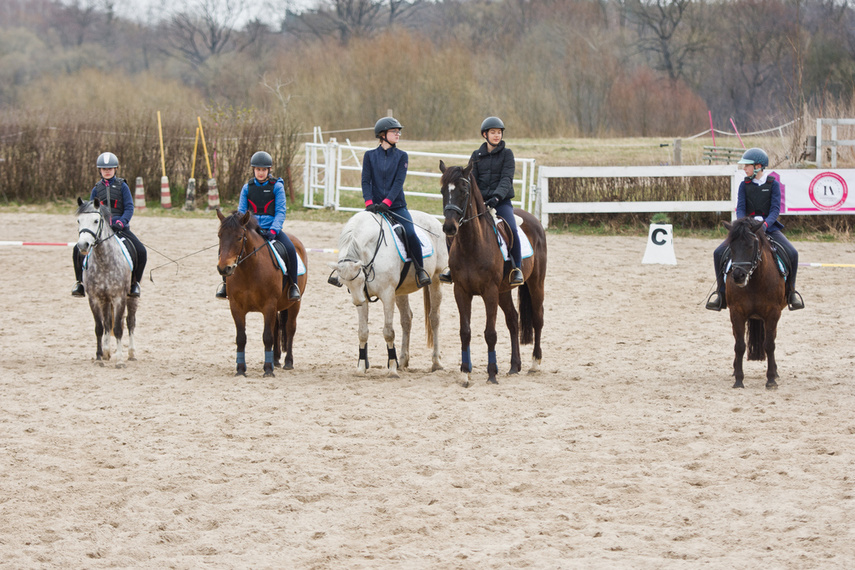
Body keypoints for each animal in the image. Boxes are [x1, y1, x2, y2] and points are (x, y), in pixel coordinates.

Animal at [75, 195, 137, 364]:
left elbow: (119, 328)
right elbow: (99, 327)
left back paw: (131, 354)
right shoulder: (95, 298)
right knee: (108, 322)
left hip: (130, 297)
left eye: (96, 221)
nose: (82, 245)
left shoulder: (119, 298)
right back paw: (107, 352)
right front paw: (99, 357)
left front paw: (120, 361)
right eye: (79, 221)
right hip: (105, 300)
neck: (103, 261)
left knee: (130, 322)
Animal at [217, 207, 308, 372]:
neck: (249, 270)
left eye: (239, 238)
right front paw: (241, 369)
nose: (224, 268)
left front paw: (268, 370)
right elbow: (241, 338)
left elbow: (267, 336)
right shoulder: (236, 306)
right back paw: (275, 360)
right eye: (220, 236)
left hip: (295, 303)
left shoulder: (269, 304)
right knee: (277, 327)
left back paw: (288, 362)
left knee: (290, 328)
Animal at [328, 211, 448, 374]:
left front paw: (391, 368)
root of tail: (433, 219)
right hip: (402, 290)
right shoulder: (363, 296)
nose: (358, 302)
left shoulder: (387, 294)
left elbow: (388, 332)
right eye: (344, 282)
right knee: (406, 319)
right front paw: (361, 367)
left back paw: (436, 362)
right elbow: (362, 332)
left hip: (435, 279)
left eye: (360, 279)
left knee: (434, 318)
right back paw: (402, 361)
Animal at [438, 158, 552, 384]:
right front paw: (465, 372)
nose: (449, 228)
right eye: (443, 191)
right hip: (504, 291)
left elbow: (490, 333)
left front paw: (491, 373)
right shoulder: (461, 292)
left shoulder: (489, 292)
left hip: (535, 283)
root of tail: (533, 220)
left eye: (464, 190)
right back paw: (514, 365)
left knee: (538, 318)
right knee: (513, 320)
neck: (472, 245)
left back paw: (535, 363)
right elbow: (465, 332)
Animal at [724, 216, 788, 386]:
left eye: (751, 246)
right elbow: (739, 345)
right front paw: (739, 380)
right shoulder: (736, 312)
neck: (755, 282)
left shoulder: (773, 313)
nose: (738, 276)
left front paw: (771, 379)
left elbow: (769, 345)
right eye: (731, 246)